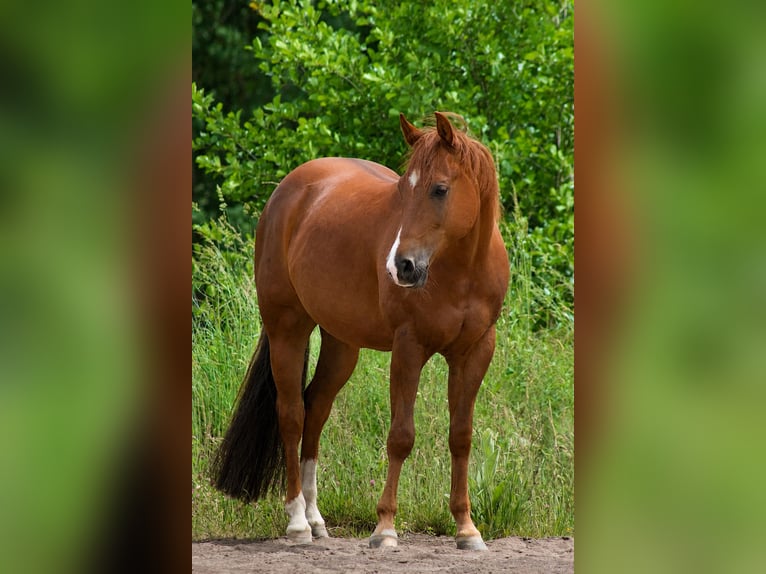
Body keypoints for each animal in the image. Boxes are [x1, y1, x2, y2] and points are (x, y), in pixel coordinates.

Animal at [212, 112, 510, 550]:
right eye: (402, 190)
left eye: (439, 189)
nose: (402, 266)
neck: (462, 270)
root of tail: (287, 192)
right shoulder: (409, 348)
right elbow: (401, 436)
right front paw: (385, 528)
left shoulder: (475, 351)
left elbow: (461, 436)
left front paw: (466, 528)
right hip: (287, 328)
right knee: (292, 414)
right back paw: (298, 523)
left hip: (341, 345)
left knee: (316, 408)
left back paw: (317, 519)